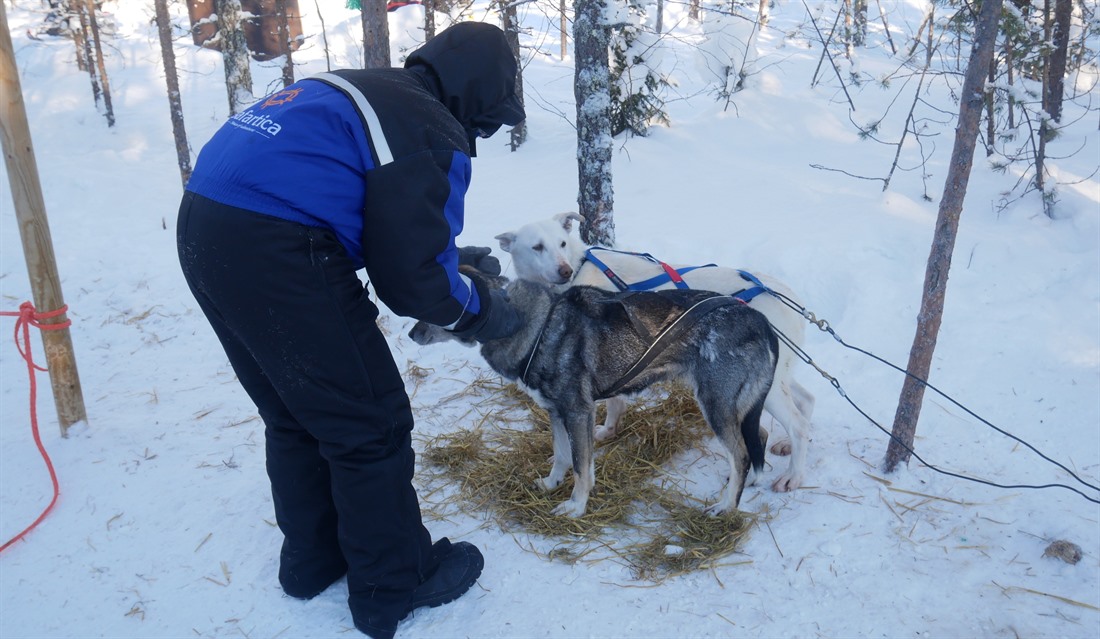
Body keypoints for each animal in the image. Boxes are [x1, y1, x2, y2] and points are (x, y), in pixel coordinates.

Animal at [409, 266, 778, 514]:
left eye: (439, 306)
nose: (411, 333)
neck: (537, 326)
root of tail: (759, 320)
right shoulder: (557, 413)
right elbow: (562, 457)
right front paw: (551, 484)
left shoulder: (578, 412)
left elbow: (580, 466)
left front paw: (576, 507)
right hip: (736, 408)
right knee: (756, 437)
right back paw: (749, 483)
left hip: (714, 405)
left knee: (741, 454)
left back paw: (727, 506)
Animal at [495, 212, 814, 490]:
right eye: (537, 247)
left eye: (562, 243)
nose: (564, 270)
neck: (579, 268)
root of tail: (791, 299)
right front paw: (607, 432)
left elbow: (612, 403)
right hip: (772, 378)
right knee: (807, 400)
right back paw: (789, 446)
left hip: (763, 387)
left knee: (797, 423)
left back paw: (794, 475)